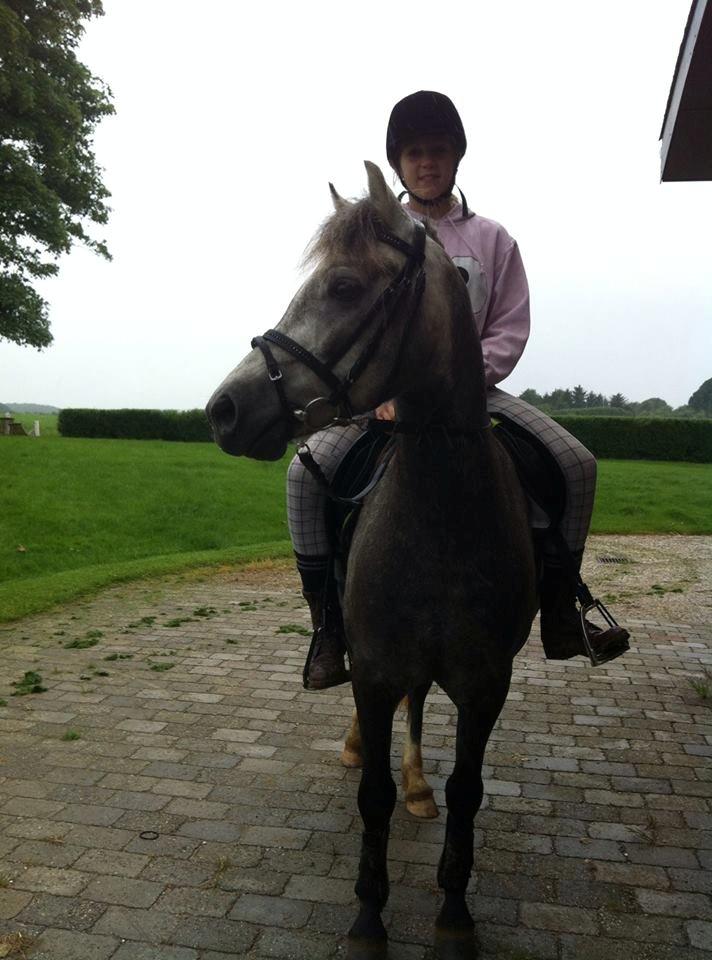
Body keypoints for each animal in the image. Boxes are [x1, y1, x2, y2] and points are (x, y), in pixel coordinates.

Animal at [206, 162, 538, 955]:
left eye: (345, 286)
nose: (224, 410)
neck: (442, 516)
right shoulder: (379, 669)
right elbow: (373, 795)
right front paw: (367, 917)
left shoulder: (486, 684)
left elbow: (466, 792)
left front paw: (453, 914)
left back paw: (419, 785)